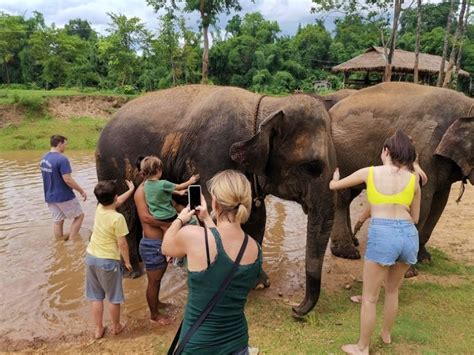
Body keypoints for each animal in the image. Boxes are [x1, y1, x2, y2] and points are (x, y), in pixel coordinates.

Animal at [94, 85, 336, 318]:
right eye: (312, 167)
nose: (295, 310)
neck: (265, 108)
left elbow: (256, 216)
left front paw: (258, 284)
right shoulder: (212, 157)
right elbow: (213, 212)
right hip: (112, 165)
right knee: (126, 213)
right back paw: (132, 272)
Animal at [328, 82, 472, 272]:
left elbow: (438, 205)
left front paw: (425, 259)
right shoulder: (425, 150)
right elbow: (423, 202)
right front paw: (408, 269)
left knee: (350, 192)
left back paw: (354, 241)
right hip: (339, 153)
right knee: (342, 197)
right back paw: (347, 252)